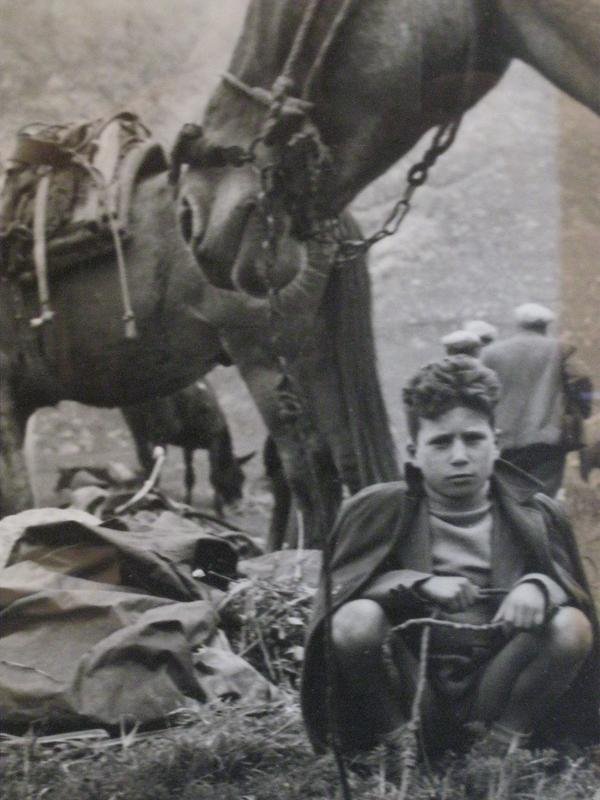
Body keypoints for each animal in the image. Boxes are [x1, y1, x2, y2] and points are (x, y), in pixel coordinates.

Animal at [121, 378, 255, 513]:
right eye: (239, 476)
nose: (237, 502)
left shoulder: (188, 445)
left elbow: (189, 476)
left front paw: (188, 503)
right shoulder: (214, 439)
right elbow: (214, 476)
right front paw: (218, 510)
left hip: (136, 425)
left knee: (144, 458)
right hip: (161, 428)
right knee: (153, 461)